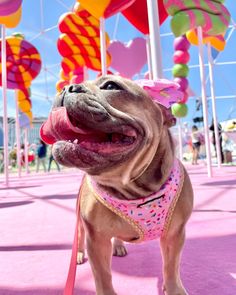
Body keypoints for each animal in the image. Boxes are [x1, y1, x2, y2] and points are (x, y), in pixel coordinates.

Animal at [40, 75, 194, 294]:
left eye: (111, 86)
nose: (67, 87)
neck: (131, 187)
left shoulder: (175, 235)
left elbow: (171, 268)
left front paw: (173, 288)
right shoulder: (96, 240)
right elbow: (103, 276)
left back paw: (119, 246)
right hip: (81, 224)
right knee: (79, 237)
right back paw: (79, 254)